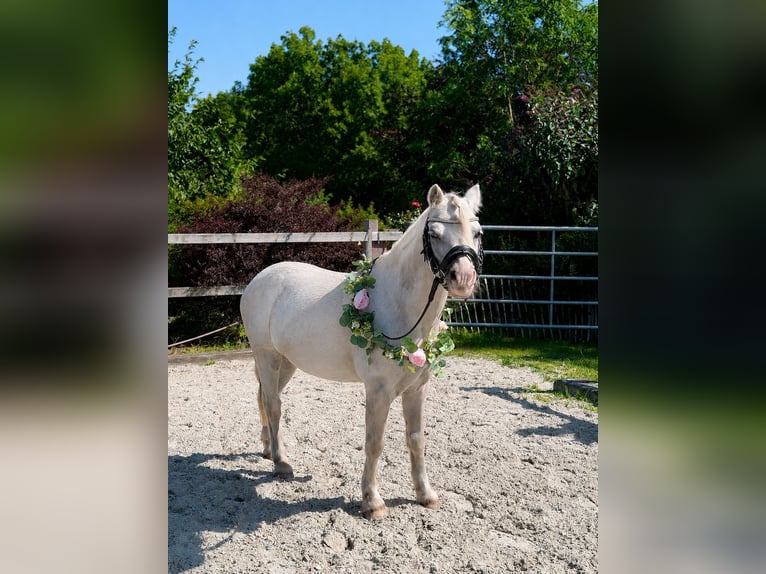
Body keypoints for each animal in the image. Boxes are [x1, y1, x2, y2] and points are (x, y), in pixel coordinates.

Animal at [240, 183, 483, 519]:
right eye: (434, 233)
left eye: (478, 233)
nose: (464, 279)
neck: (395, 302)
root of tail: (258, 280)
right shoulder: (378, 390)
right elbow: (374, 442)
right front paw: (372, 501)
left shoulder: (417, 389)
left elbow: (416, 439)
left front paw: (426, 495)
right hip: (266, 357)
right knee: (274, 404)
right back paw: (281, 463)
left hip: (286, 363)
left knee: (264, 397)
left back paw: (267, 449)